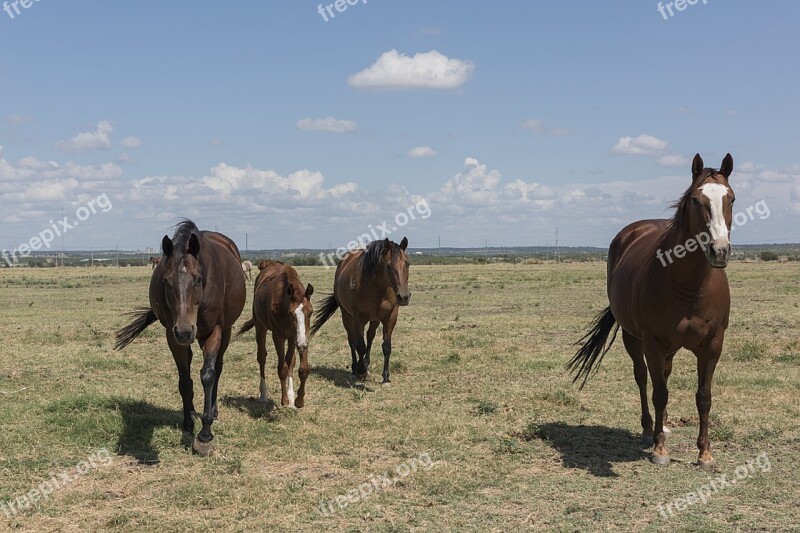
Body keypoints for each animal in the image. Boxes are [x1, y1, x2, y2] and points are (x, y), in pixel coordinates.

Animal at [115, 218, 247, 456]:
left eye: (198, 279)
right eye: (166, 281)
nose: (185, 330)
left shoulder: (213, 331)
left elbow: (208, 375)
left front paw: (205, 435)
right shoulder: (172, 334)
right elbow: (185, 380)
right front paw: (187, 423)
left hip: (224, 331)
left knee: (219, 366)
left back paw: (213, 410)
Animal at [236, 260, 314, 406]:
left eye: (311, 312)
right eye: (291, 313)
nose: (301, 345)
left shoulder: (297, 336)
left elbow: (301, 368)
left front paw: (297, 400)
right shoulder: (278, 336)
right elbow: (282, 368)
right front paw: (284, 400)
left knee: (291, 361)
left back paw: (291, 395)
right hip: (260, 326)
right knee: (261, 357)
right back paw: (263, 395)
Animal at [310, 237, 412, 382]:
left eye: (407, 263)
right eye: (388, 266)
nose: (404, 297)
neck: (379, 289)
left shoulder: (391, 316)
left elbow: (386, 346)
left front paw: (386, 377)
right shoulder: (359, 318)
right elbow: (360, 346)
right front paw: (361, 371)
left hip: (375, 319)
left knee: (370, 336)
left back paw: (367, 364)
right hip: (347, 315)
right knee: (352, 340)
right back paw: (355, 368)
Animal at [568, 154, 736, 470]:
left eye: (731, 198)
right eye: (696, 200)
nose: (719, 251)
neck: (689, 284)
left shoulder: (713, 344)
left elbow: (704, 396)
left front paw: (705, 453)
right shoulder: (653, 343)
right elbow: (659, 392)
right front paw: (659, 449)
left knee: (665, 375)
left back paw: (665, 424)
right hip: (633, 338)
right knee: (643, 377)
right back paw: (650, 428)